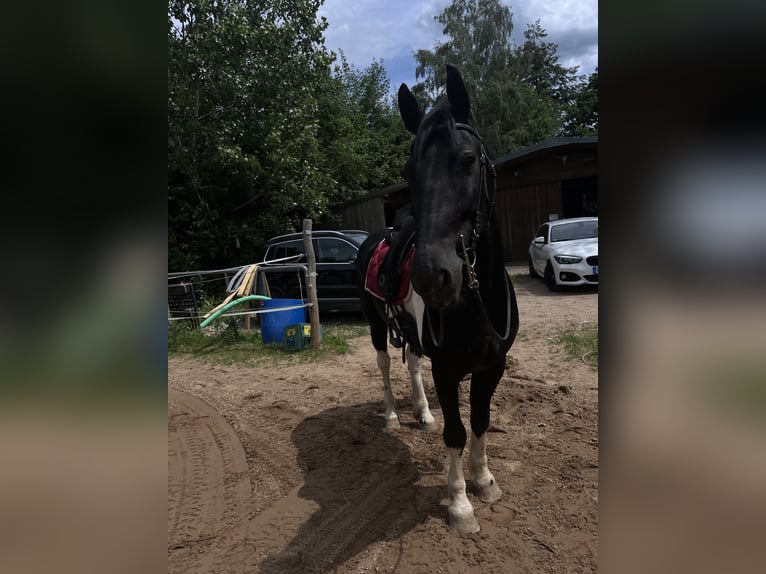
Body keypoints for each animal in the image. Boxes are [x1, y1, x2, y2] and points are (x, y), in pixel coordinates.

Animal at [356, 65, 520, 534]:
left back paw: (422, 413)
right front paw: (460, 505)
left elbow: (480, 421)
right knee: (386, 366)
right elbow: (457, 432)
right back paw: (393, 415)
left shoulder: (492, 366)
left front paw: (484, 481)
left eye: (467, 160)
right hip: (376, 327)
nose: (432, 277)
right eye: (408, 172)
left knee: (412, 364)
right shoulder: (447, 370)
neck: (478, 301)